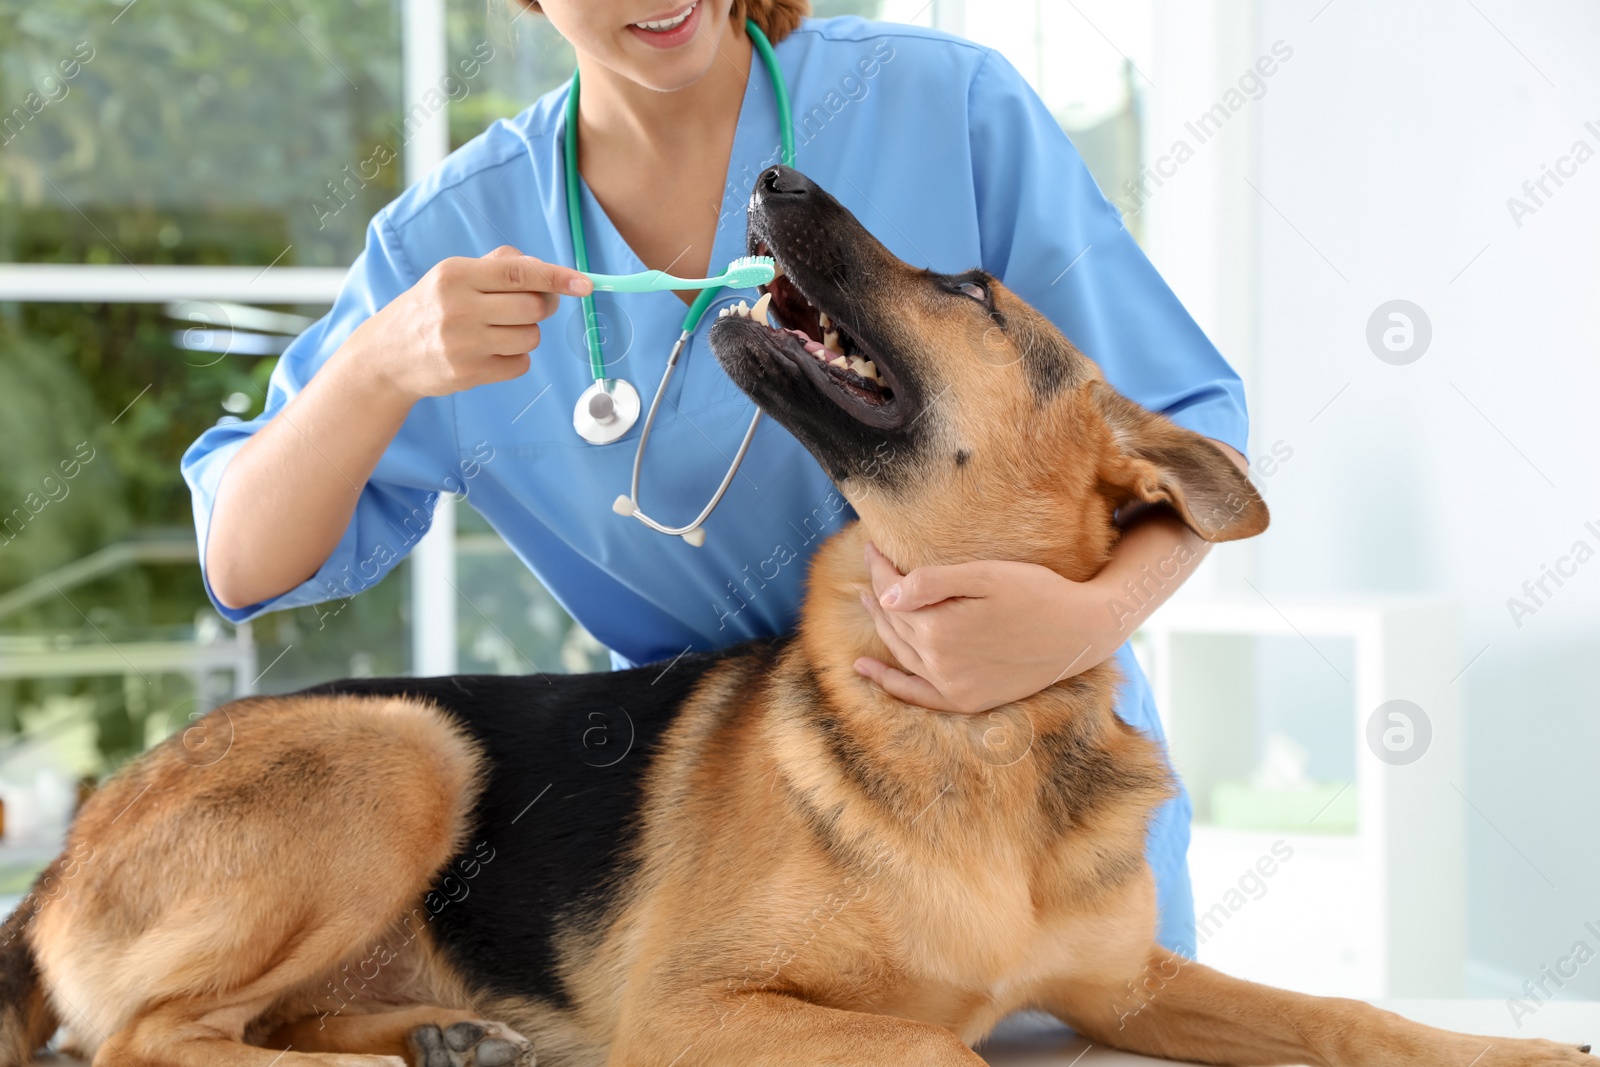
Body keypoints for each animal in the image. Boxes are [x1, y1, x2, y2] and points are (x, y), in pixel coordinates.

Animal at [0, 167, 1587, 1067]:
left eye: (968, 286)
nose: (772, 173)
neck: (984, 727)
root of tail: (64, 848)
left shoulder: (1126, 984)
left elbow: (1349, 1015)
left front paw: (1517, 1050)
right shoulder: (701, 1009)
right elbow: (942, 1053)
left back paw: (452, 1033)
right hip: (404, 748)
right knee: (146, 1039)